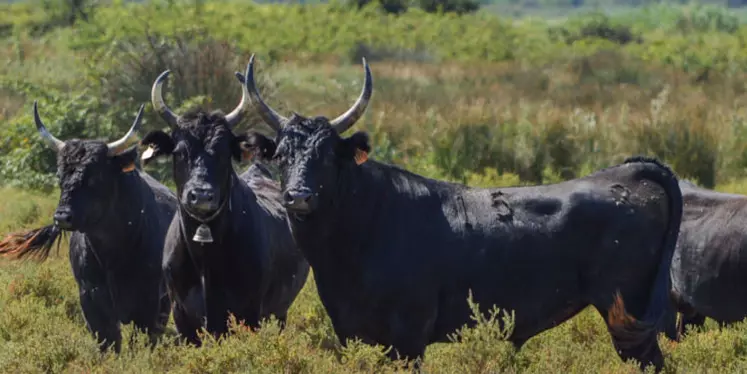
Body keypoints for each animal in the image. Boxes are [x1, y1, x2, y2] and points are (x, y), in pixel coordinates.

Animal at [0, 101, 178, 350]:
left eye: (95, 176)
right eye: (60, 176)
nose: (62, 217)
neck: (112, 254)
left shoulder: (148, 302)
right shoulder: (91, 298)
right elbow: (108, 342)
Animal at [139, 68, 312, 344]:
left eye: (222, 152)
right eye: (179, 152)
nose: (201, 196)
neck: (205, 259)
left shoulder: (249, 314)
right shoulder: (182, 317)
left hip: (279, 313)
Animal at [240, 55, 684, 372]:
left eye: (329, 155)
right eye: (281, 156)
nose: (298, 196)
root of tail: (628, 171)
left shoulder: (408, 337)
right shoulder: (353, 332)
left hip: (628, 316)